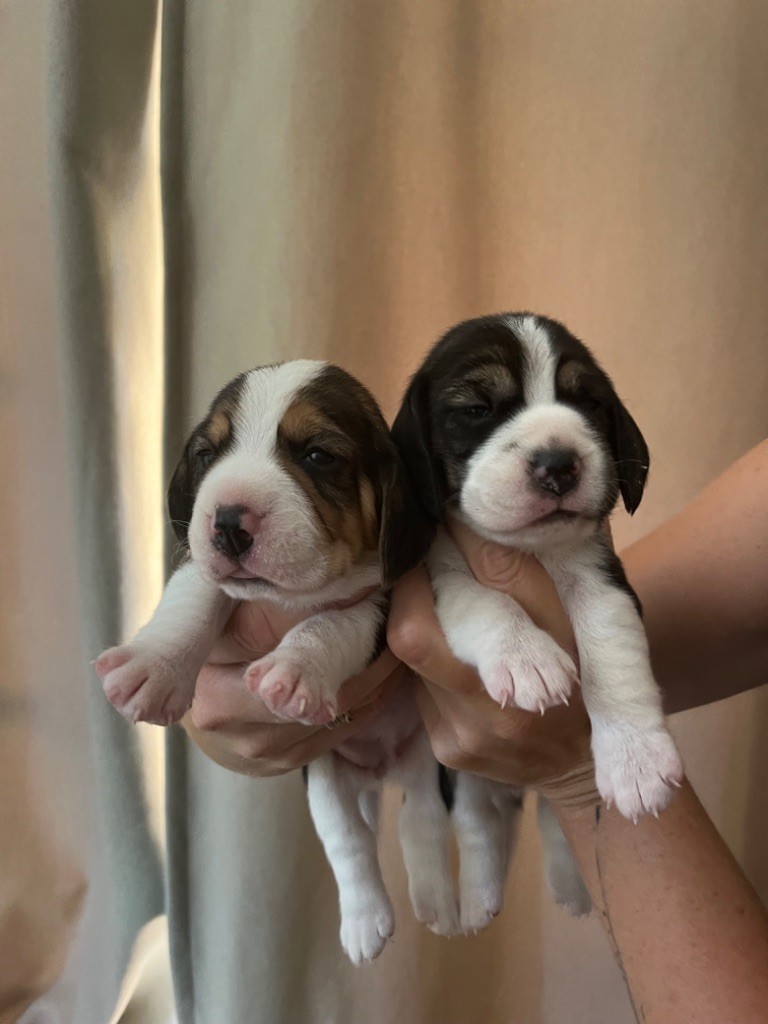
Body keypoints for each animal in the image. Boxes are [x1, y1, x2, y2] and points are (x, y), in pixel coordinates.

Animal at [94, 364, 512, 962]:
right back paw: (367, 918)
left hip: (427, 759)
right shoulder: (206, 574)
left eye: (318, 455)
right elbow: (193, 596)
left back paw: (433, 903)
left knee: (421, 817)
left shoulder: (380, 604)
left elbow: (328, 626)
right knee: (349, 838)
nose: (227, 522)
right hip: (326, 776)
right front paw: (152, 665)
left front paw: (294, 670)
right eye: (206, 453)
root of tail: (382, 768)